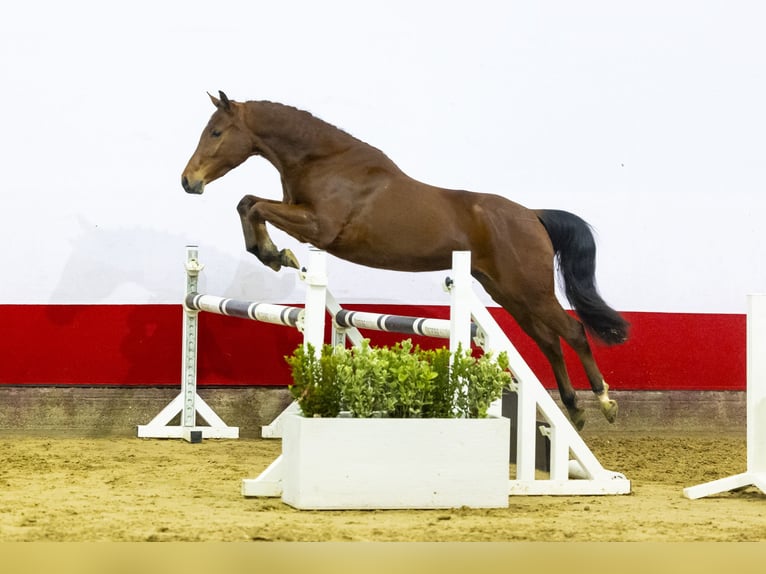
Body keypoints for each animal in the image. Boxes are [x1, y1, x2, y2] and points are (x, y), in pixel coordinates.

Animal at [182, 91, 632, 432]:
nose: (189, 181)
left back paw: (604, 403)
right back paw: (573, 410)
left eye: (217, 132)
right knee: (549, 342)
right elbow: (248, 203)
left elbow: (255, 205)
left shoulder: (319, 227)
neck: (324, 161)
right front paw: (273, 254)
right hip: (511, 294)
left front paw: (276, 254)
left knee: (573, 332)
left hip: (531, 291)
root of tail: (533, 215)